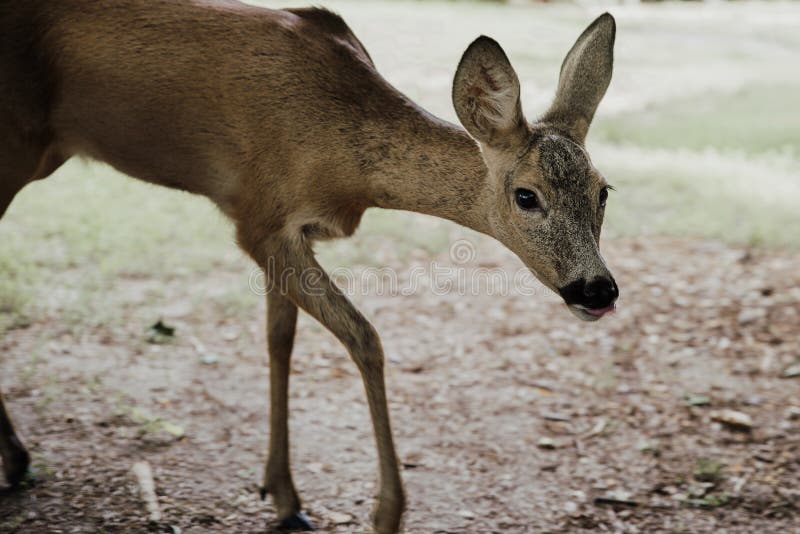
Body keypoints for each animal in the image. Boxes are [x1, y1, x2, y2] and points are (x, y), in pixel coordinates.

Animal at [0, 2, 620, 532]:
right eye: (525, 196)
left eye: (604, 191)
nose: (597, 290)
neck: (342, 159)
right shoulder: (257, 218)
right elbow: (365, 339)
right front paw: (386, 513)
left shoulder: (290, 233)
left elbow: (280, 337)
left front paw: (283, 495)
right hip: (15, 144)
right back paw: (17, 458)